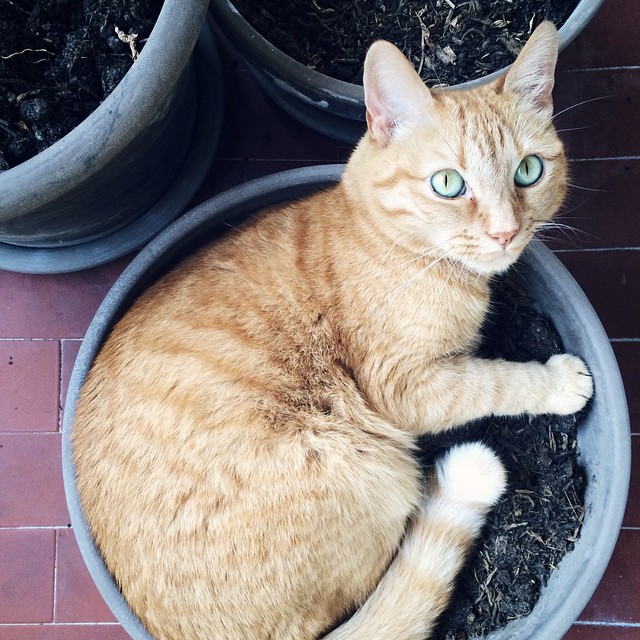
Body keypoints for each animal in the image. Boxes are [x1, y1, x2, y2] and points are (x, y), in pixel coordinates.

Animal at [74, 21, 592, 640]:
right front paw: (556, 383)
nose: (505, 232)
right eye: (448, 183)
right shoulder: (405, 386)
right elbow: (493, 382)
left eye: (528, 171)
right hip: (376, 465)